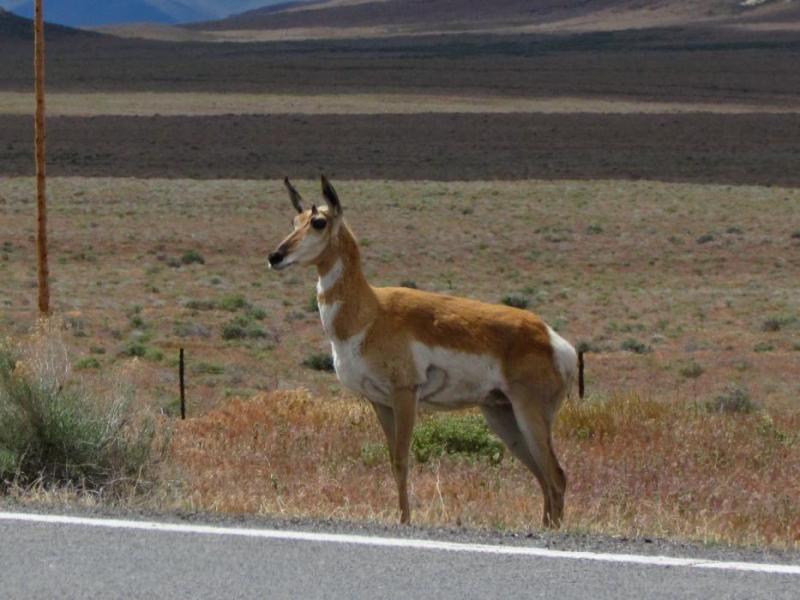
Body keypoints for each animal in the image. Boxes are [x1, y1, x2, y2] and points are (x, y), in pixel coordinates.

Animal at [268, 176, 578, 528]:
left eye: (319, 222)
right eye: (295, 220)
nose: (275, 256)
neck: (370, 313)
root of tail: (553, 339)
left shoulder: (405, 394)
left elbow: (402, 460)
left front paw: (405, 521)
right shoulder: (379, 402)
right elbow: (392, 461)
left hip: (530, 413)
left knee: (556, 476)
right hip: (502, 415)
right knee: (543, 477)